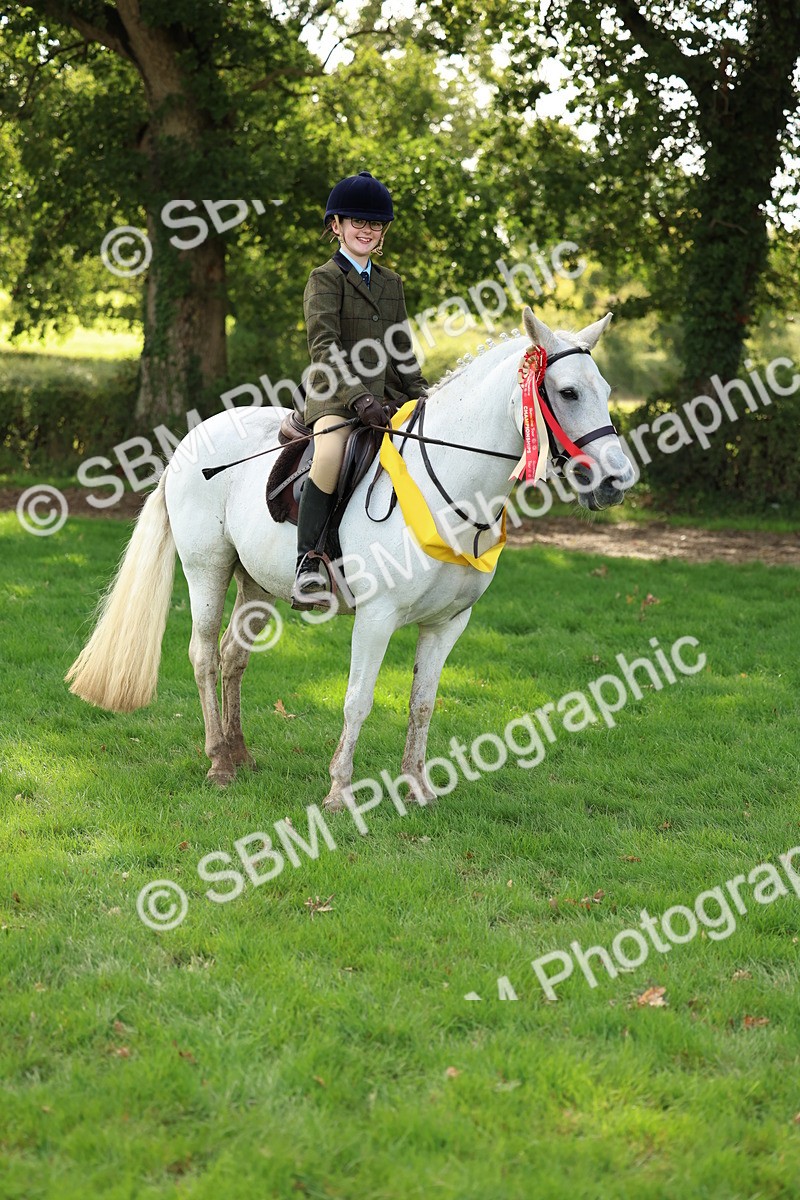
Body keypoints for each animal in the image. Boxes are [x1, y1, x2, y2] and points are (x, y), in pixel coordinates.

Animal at [66, 307, 635, 810]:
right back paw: (219, 763)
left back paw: (240, 753)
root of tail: (189, 442)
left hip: (256, 584)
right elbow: (358, 701)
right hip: (208, 569)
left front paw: (418, 788)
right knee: (204, 655)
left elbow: (422, 703)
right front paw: (340, 792)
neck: (450, 488)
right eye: (567, 392)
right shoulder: (377, 617)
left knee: (233, 656)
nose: (617, 481)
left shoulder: (448, 624)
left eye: (606, 391)